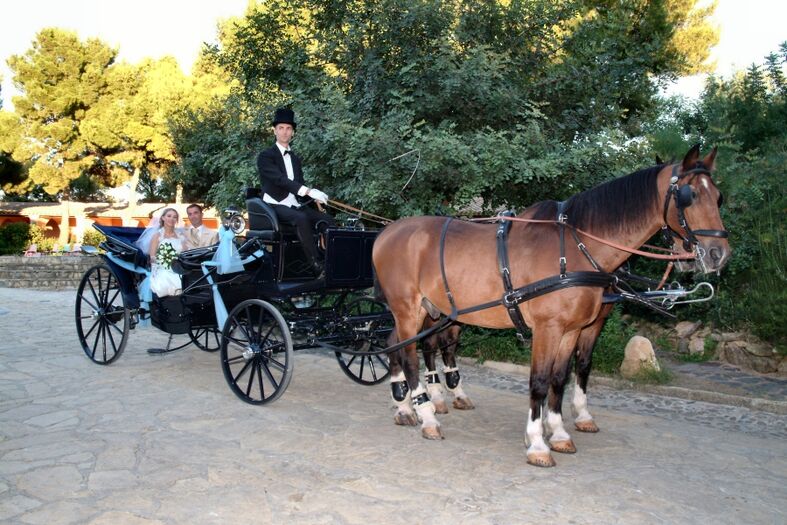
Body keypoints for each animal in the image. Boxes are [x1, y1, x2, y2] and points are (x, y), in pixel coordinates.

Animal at [372, 144, 728, 466]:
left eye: (718, 196)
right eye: (689, 195)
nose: (718, 254)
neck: (575, 249)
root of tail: (386, 232)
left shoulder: (573, 329)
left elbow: (561, 377)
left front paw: (558, 431)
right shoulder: (548, 328)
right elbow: (540, 381)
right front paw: (537, 443)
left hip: (426, 311)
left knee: (397, 345)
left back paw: (404, 406)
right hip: (409, 309)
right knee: (410, 357)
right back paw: (427, 415)